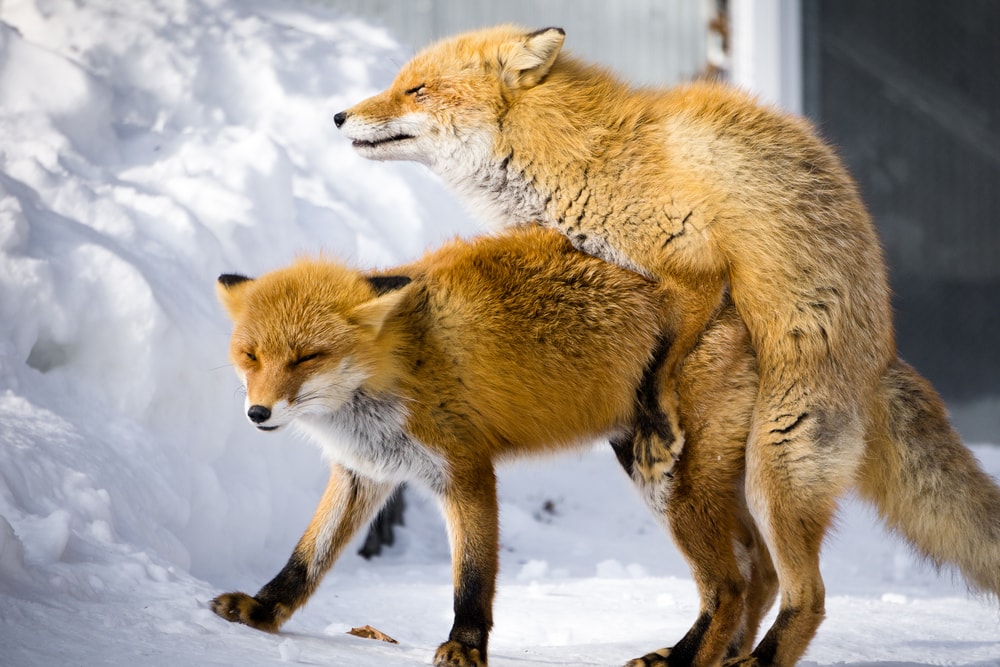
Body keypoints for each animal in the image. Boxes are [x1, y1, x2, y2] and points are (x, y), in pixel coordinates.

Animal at [210, 226, 1000, 667]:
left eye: (307, 356)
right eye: (251, 356)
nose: (257, 412)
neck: (401, 363)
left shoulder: (466, 470)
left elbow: (472, 580)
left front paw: (466, 648)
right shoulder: (364, 472)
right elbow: (305, 561)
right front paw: (262, 613)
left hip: (688, 482)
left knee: (751, 585)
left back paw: (698, 661)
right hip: (690, 479)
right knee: (758, 577)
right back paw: (709, 657)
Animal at [334, 25, 897, 665]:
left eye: (418, 90)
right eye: (402, 84)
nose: (338, 115)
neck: (585, 158)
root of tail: (882, 362)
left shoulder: (694, 265)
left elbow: (667, 358)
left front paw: (661, 416)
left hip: (774, 467)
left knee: (807, 594)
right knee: (763, 576)